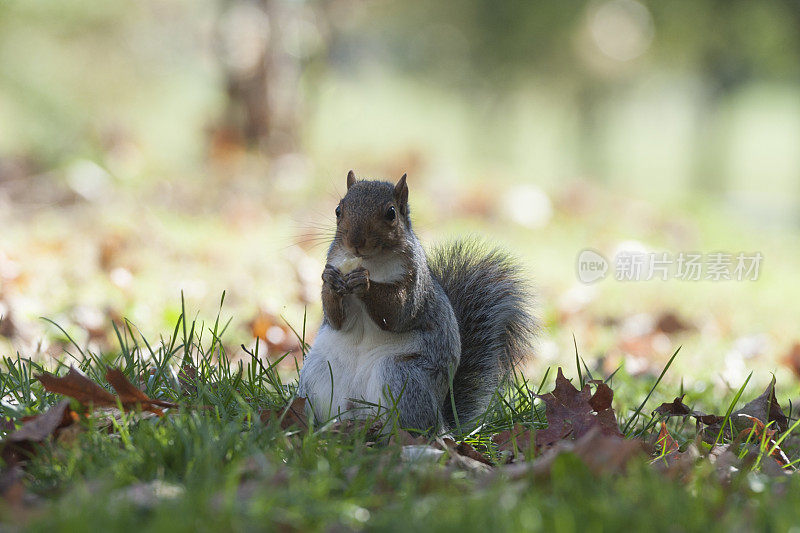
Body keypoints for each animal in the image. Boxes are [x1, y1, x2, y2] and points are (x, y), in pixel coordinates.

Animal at [296, 171, 536, 432]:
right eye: (338, 210)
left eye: (391, 213)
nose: (355, 241)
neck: (371, 262)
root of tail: (443, 423)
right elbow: (336, 319)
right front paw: (330, 280)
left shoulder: (413, 280)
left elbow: (396, 312)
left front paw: (364, 283)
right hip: (318, 373)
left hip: (403, 376)